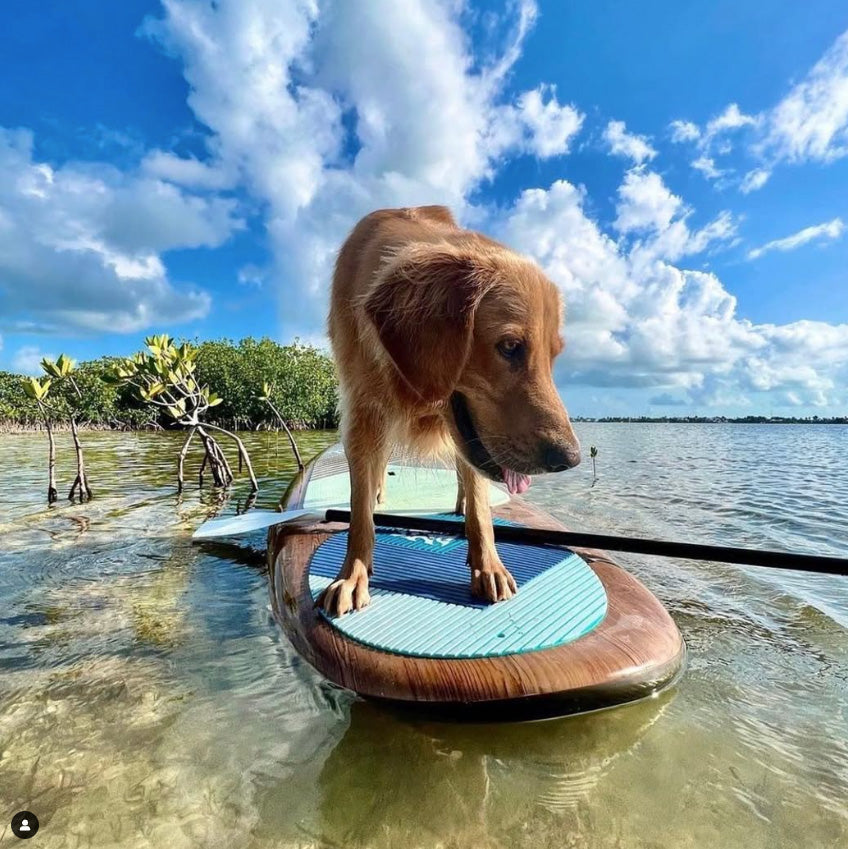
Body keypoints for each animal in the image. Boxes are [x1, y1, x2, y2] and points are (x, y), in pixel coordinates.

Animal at [322, 205, 580, 616]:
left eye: (553, 356)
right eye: (510, 346)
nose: (570, 459)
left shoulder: (473, 440)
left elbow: (480, 507)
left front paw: (489, 565)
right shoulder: (362, 411)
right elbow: (359, 510)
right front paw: (353, 574)